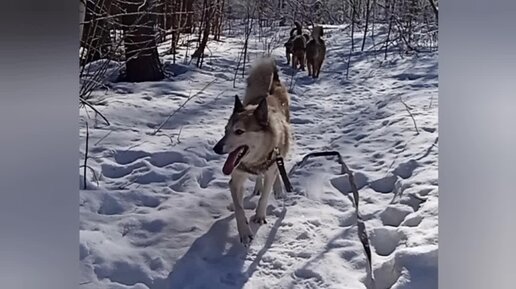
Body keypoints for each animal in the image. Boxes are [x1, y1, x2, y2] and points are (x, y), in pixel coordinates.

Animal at [211, 58, 290, 245]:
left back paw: (278, 188)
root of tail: (269, 91)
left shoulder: (270, 166)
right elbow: (239, 208)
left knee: (277, 170)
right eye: (225, 130)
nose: (216, 148)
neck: (255, 161)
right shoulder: (236, 178)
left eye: (239, 131)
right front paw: (244, 231)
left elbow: (265, 196)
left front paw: (259, 216)